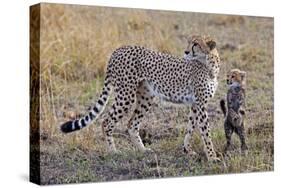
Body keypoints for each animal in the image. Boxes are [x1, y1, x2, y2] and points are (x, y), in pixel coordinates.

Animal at [60, 35, 220, 162]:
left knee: (132, 123)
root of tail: (118, 49)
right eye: (189, 43)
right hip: (126, 95)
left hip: (146, 96)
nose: (186, 52)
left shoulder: (195, 104)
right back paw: (113, 151)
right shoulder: (201, 104)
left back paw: (142, 150)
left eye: (196, 44)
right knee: (107, 121)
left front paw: (188, 150)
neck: (210, 64)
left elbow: (190, 129)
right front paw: (212, 157)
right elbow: (206, 132)